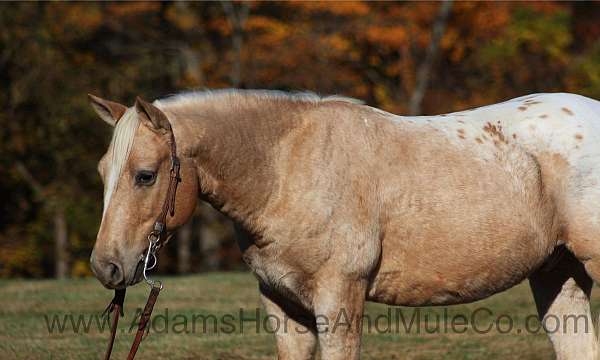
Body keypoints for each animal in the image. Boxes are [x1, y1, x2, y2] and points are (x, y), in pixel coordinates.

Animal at [89, 89, 600, 358]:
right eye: (102, 171)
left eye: (145, 175)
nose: (105, 267)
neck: (287, 168)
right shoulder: (283, 305)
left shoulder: (340, 299)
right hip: (558, 275)